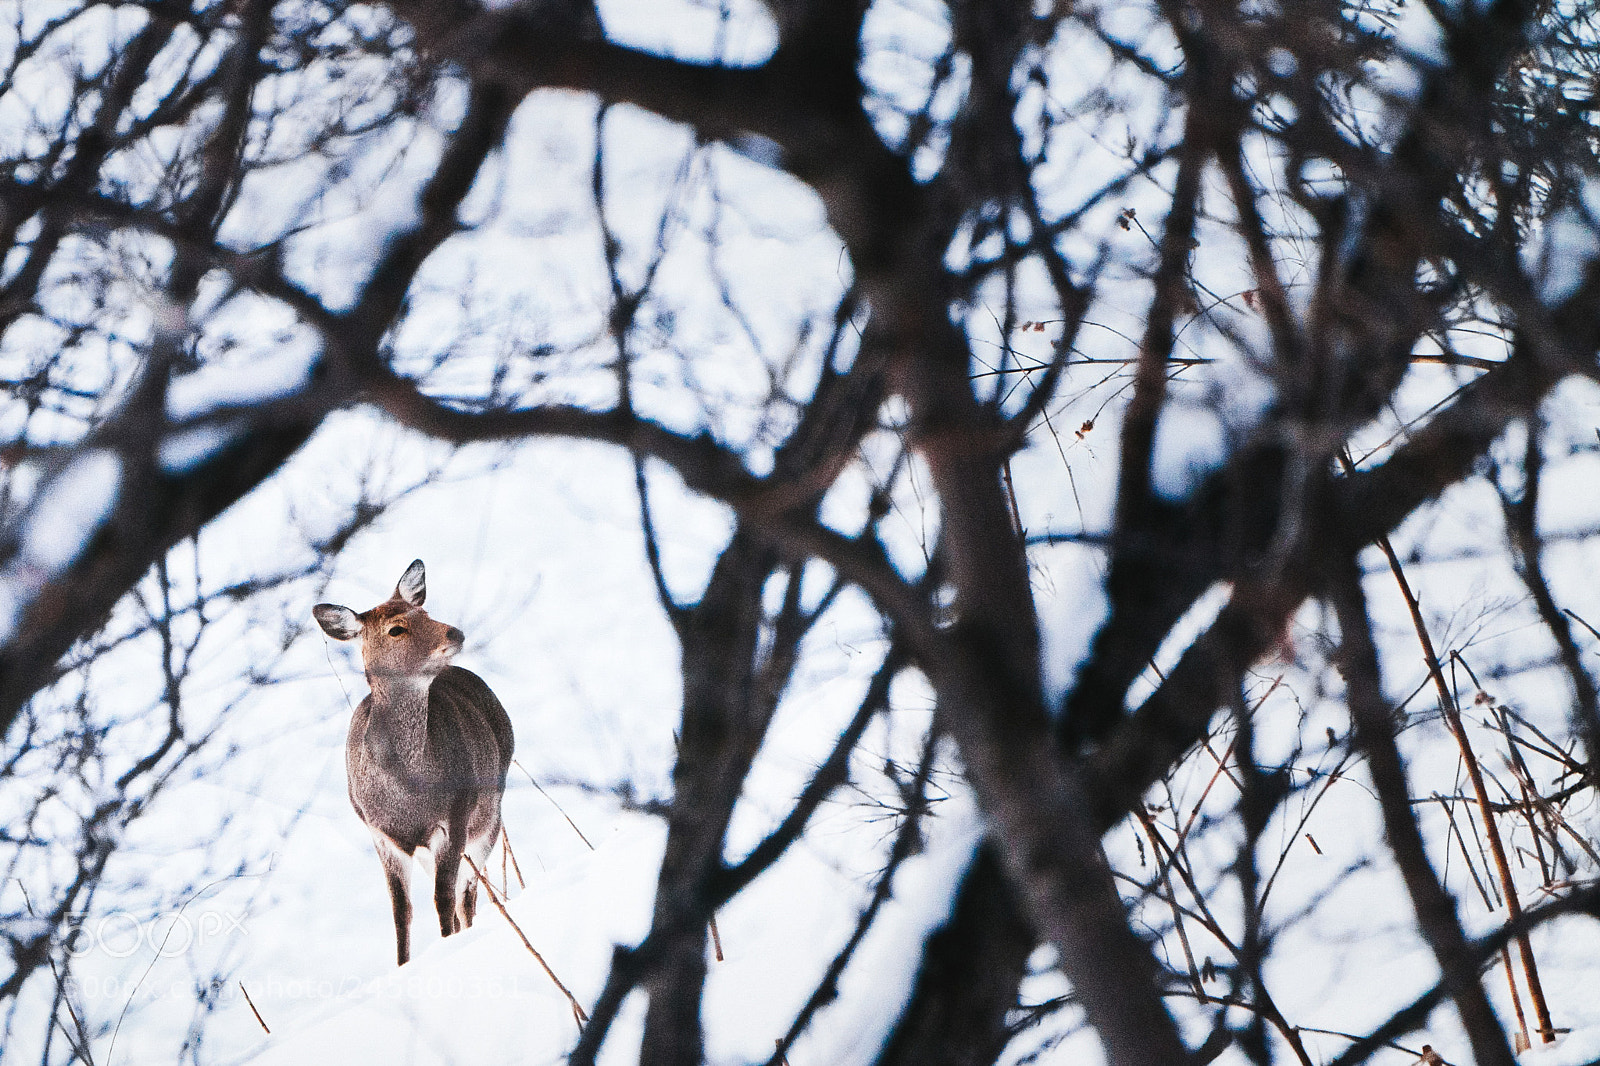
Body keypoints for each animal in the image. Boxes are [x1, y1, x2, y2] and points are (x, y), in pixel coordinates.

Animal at [313, 560, 514, 966]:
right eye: (396, 628)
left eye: (424, 611)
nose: (455, 632)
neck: (406, 795)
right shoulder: (380, 834)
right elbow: (400, 912)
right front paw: (403, 965)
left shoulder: (454, 816)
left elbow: (444, 898)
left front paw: (447, 946)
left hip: (489, 818)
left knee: (469, 892)